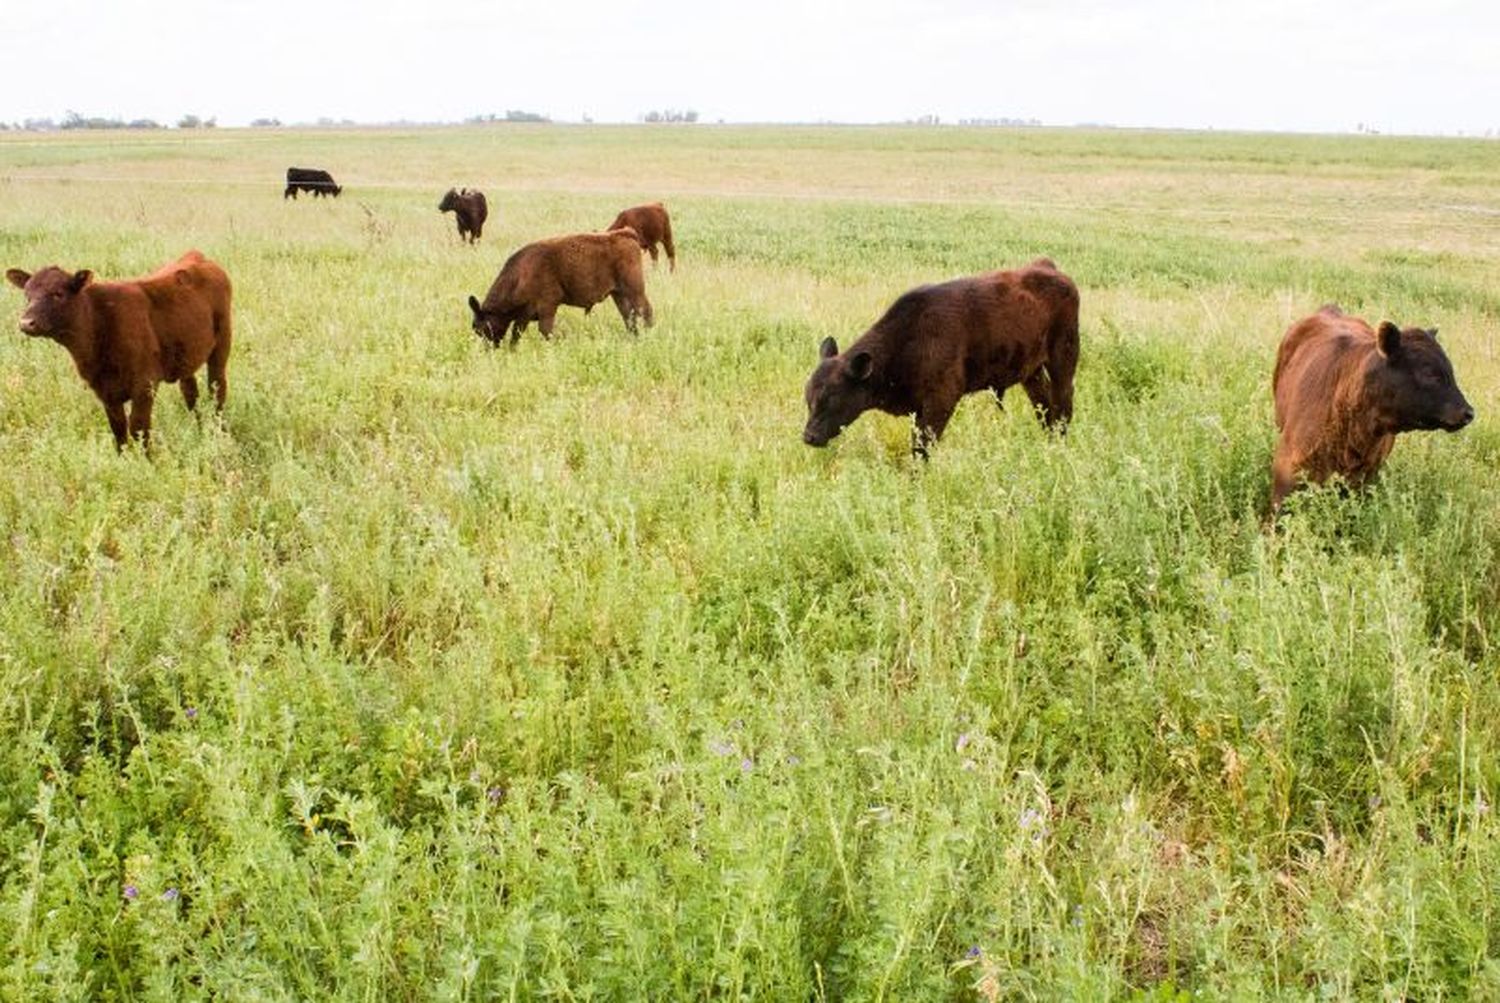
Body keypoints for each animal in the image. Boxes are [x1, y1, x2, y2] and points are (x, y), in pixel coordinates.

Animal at [4, 250, 232, 449]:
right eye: (27, 296)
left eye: (58, 294)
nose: (26, 323)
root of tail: (197, 256)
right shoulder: (105, 391)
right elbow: (119, 431)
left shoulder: (145, 385)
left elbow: (138, 429)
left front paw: (149, 463)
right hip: (186, 355)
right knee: (191, 393)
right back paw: (200, 428)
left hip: (222, 345)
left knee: (217, 388)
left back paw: (219, 432)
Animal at [465, 229, 654, 346]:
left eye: (482, 328)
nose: (488, 349)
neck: (522, 274)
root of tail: (625, 234)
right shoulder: (524, 315)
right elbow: (516, 335)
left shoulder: (548, 307)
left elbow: (545, 331)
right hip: (619, 294)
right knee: (629, 316)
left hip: (635, 290)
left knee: (645, 310)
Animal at [810, 260, 1080, 458]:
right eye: (809, 398)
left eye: (832, 398)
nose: (808, 436)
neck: (911, 336)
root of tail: (1048, 267)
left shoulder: (941, 400)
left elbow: (922, 448)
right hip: (1031, 372)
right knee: (1044, 407)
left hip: (1063, 360)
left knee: (1063, 404)